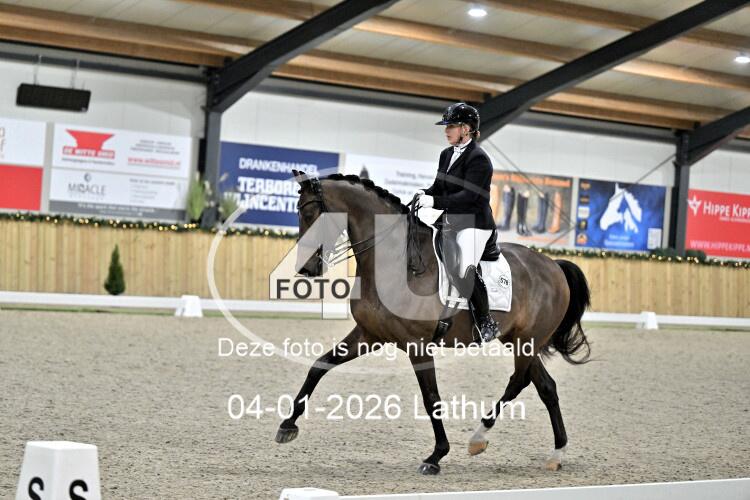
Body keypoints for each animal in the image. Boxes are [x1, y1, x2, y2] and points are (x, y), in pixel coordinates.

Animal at [275, 170, 591, 475]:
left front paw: (436, 456)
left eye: (310, 214)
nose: (307, 268)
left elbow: (431, 398)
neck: (394, 262)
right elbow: (319, 366)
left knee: (518, 381)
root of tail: (552, 264)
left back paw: (479, 437)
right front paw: (287, 426)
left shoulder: (418, 346)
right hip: (517, 339)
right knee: (545, 387)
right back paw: (556, 453)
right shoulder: (369, 335)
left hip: (528, 340)